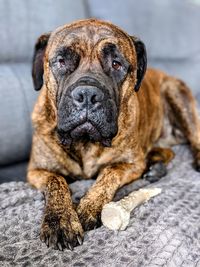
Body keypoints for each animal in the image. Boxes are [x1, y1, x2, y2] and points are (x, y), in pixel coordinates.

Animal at [27, 18, 200, 251]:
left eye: (116, 64)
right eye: (61, 61)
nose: (88, 94)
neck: (85, 143)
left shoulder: (131, 163)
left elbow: (110, 172)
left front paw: (88, 207)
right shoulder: (36, 170)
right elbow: (56, 180)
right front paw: (60, 220)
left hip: (176, 93)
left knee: (194, 137)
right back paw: (155, 165)